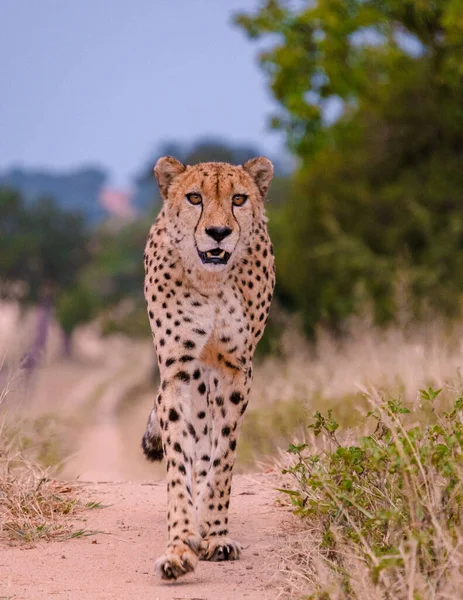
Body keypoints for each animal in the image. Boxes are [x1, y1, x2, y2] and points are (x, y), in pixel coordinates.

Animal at [141, 155, 276, 580]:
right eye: (195, 198)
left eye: (238, 199)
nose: (218, 232)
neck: (212, 282)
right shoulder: (178, 371)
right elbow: (179, 463)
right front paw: (180, 546)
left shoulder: (236, 370)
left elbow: (223, 460)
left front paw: (214, 534)